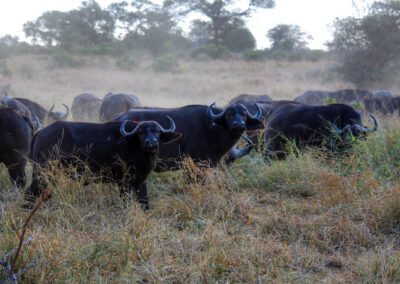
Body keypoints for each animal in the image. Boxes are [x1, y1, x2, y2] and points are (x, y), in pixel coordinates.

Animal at [25, 115, 181, 209]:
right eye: (141, 132)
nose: (151, 143)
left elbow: (144, 201)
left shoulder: (141, 181)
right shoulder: (123, 182)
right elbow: (126, 201)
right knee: (31, 192)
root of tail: (40, 132)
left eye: (157, 132)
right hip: (42, 173)